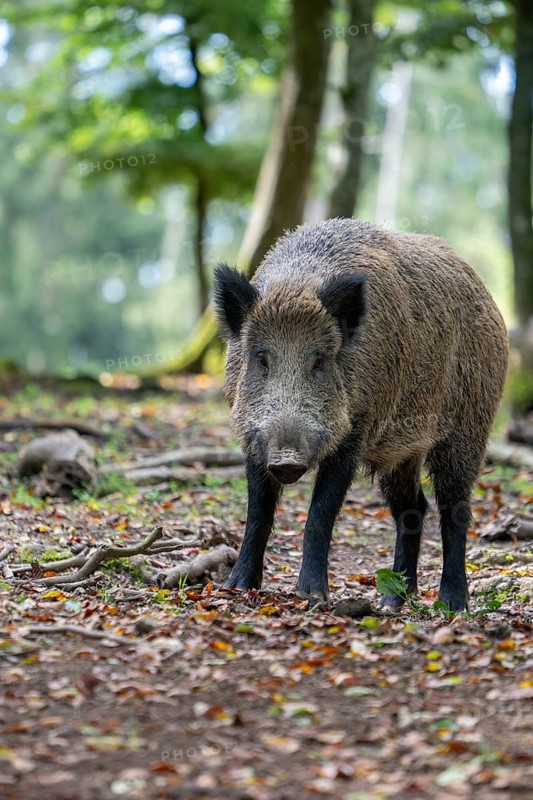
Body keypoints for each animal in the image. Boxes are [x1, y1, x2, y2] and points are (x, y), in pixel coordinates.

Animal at [213, 218, 508, 611]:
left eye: (319, 360)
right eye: (261, 358)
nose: (287, 460)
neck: (297, 285)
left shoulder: (355, 431)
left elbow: (320, 514)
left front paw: (312, 596)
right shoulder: (254, 439)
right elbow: (257, 513)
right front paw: (237, 587)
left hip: (469, 427)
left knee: (455, 510)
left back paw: (451, 605)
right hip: (401, 452)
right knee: (412, 508)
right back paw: (391, 601)